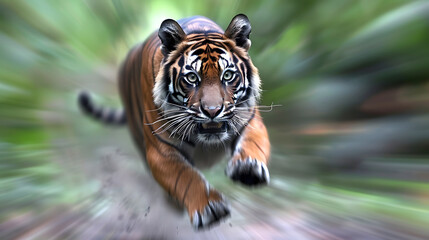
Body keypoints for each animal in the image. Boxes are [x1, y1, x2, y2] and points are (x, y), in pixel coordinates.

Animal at [78, 14, 270, 230]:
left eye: (227, 75)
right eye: (192, 78)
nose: (212, 111)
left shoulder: (251, 121)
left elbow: (253, 144)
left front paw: (248, 169)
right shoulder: (161, 152)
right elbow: (186, 178)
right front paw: (209, 207)